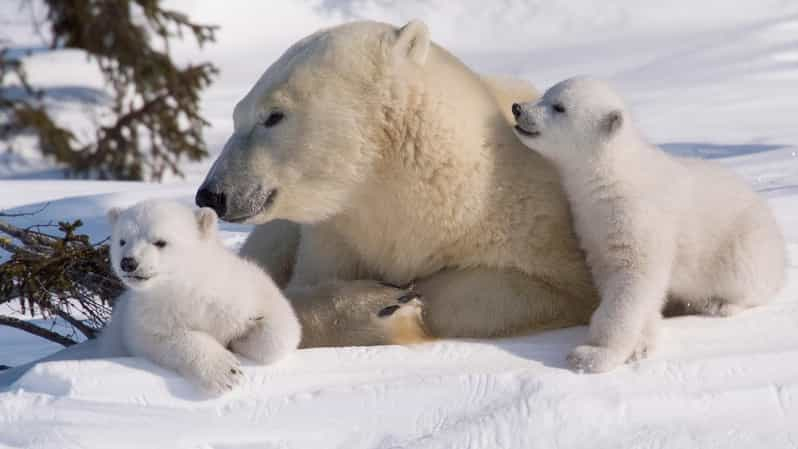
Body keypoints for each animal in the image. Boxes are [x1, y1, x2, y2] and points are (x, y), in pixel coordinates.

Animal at [98, 200, 302, 392]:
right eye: (122, 241)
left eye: (160, 242)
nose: (128, 263)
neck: (189, 287)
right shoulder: (146, 316)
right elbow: (161, 339)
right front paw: (227, 371)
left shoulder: (242, 291)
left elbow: (281, 327)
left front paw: (240, 339)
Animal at [198, 18, 600, 346]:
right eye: (236, 115)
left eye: (273, 115)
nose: (212, 194)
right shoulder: (336, 237)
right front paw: (381, 305)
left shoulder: (531, 222)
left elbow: (540, 288)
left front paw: (401, 300)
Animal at [512, 77, 788, 372]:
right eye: (545, 94)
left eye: (559, 107)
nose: (517, 108)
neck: (613, 177)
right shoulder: (592, 225)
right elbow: (615, 278)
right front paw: (641, 345)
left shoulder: (639, 218)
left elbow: (633, 280)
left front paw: (593, 355)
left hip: (746, 242)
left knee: (745, 277)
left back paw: (720, 304)